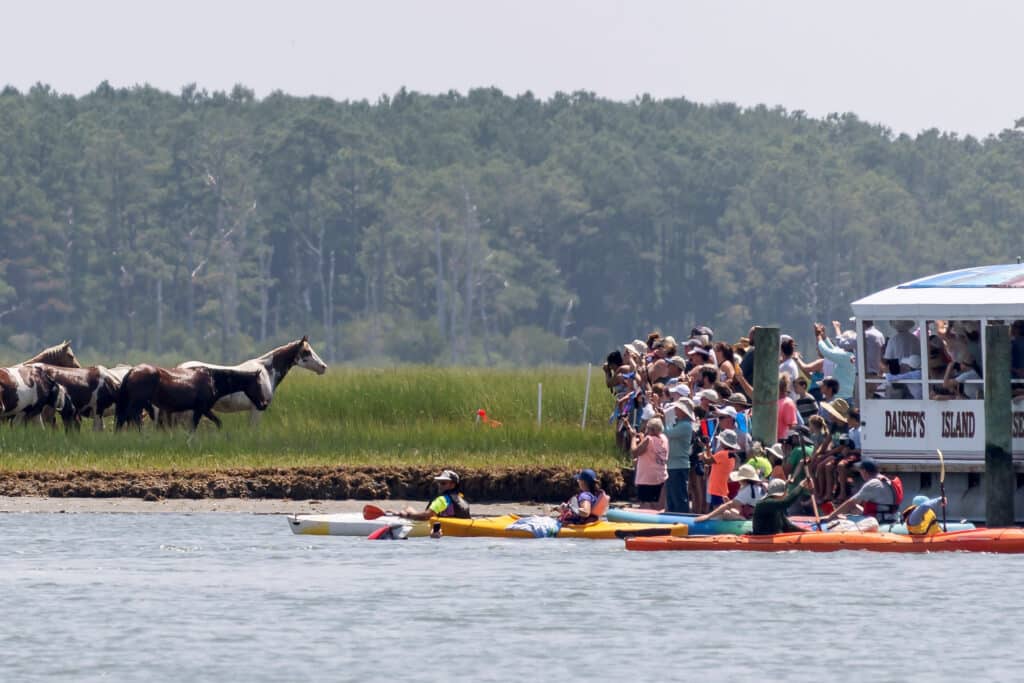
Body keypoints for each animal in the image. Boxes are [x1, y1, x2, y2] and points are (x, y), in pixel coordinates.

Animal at [115, 366, 272, 430]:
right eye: (259, 384)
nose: (264, 404)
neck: (213, 380)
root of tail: (132, 371)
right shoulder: (201, 409)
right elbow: (195, 426)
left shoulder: (204, 409)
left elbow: (217, 423)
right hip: (138, 402)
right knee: (132, 417)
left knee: (123, 418)